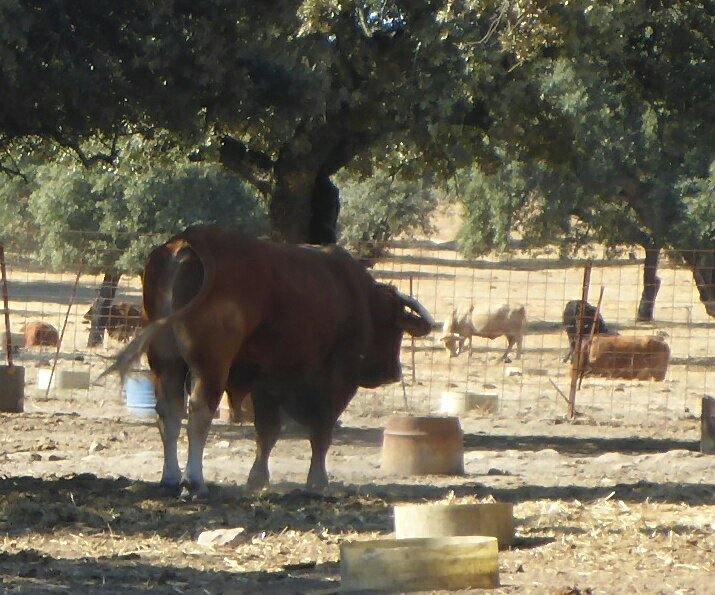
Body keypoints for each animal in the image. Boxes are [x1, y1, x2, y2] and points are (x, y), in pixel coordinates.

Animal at [101, 225, 434, 497]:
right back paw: (194, 481)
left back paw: (170, 478)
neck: (355, 296)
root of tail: (190, 239)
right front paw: (317, 481)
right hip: (211, 366)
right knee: (199, 412)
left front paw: (258, 478)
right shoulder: (335, 382)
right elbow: (321, 432)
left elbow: (267, 432)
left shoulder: (266, 380)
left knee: (169, 411)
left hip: (165, 362)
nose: (392, 372)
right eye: (395, 327)